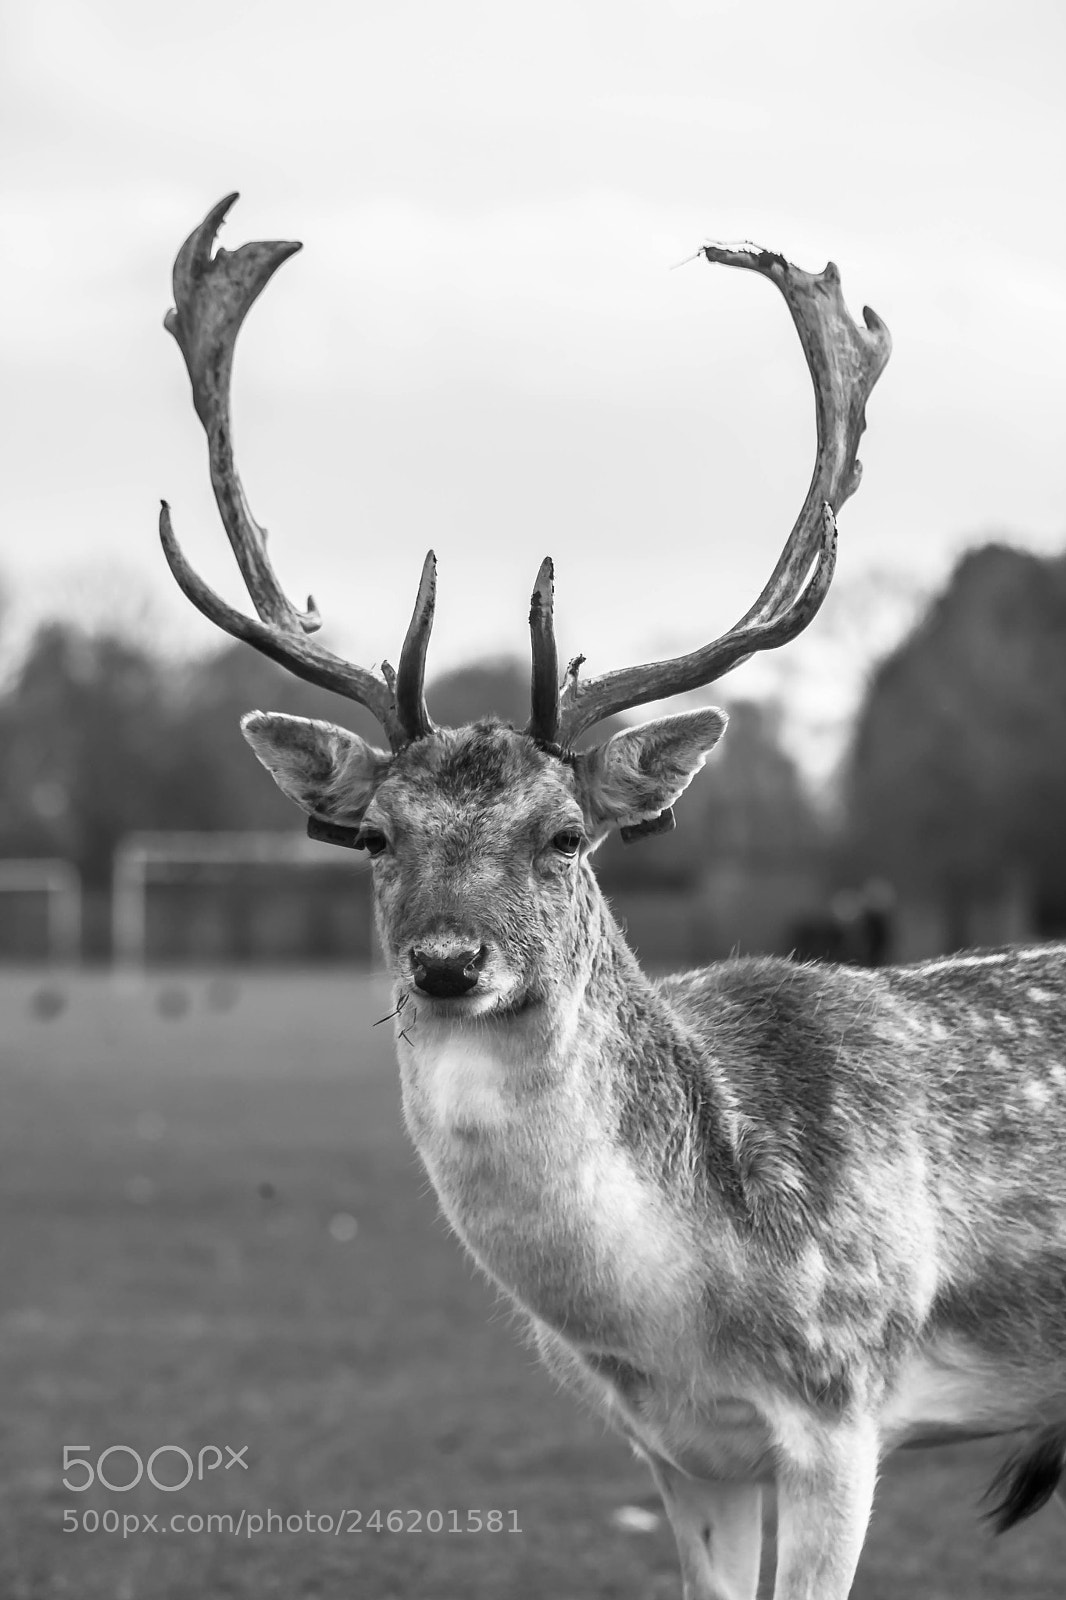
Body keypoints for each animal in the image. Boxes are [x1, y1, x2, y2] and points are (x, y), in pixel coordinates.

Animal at [160, 194, 1066, 1600]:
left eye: (568, 832)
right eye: (373, 836)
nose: (448, 961)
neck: (678, 1308)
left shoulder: (843, 1406)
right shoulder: (680, 1451)